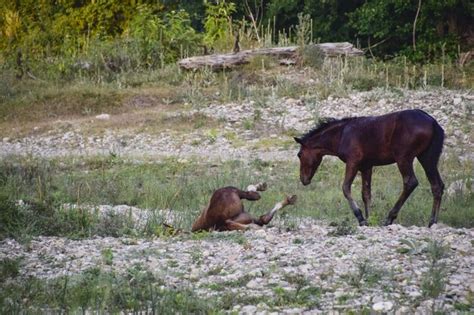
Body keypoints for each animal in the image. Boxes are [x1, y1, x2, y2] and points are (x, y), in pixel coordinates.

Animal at [294, 110, 446, 228]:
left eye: (299, 154)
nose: (303, 179)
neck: (341, 135)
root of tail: (432, 122)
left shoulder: (353, 162)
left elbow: (345, 187)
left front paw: (361, 218)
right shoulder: (366, 167)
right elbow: (366, 193)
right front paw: (369, 219)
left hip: (404, 158)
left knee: (410, 182)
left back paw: (390, 218)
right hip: (427, 157)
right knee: (437, 185)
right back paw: (432, 222)